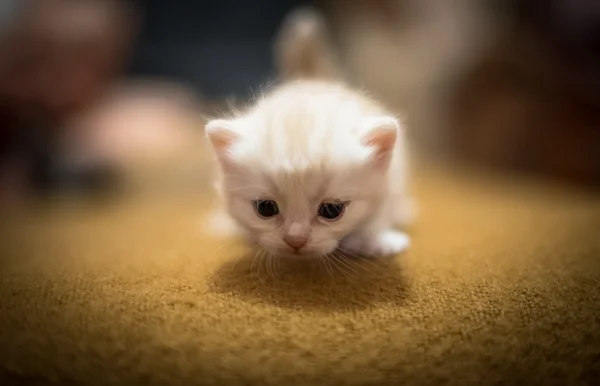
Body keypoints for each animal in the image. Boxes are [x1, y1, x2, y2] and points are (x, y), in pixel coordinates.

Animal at [204, 79, 414, 258]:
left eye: (332, 210)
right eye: (265, 208)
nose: (295, 240)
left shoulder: (391, 181)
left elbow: (379, 213)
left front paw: (374, 242)